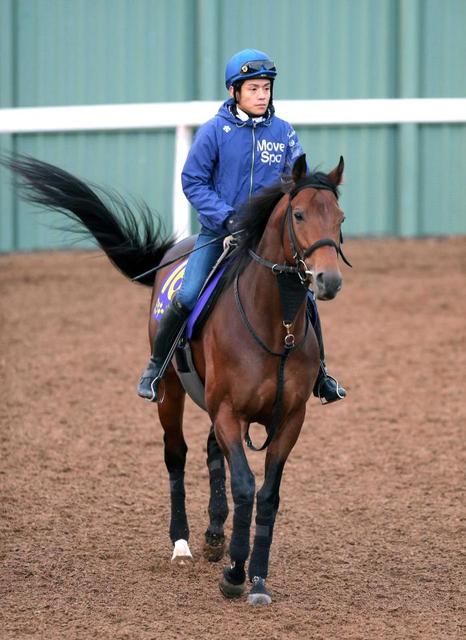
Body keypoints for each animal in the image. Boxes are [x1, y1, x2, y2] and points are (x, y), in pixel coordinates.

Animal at [1, 152, 348, 604]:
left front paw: (256, 578)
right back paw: (182, 543)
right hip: (170, 392)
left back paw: (214, 535)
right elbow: (244, 486)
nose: (329, 280)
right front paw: (235, 574)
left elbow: (267, 495)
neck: (277, 328)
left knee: (211, 452)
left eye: (340, 217)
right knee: (177, 455)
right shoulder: (229, 411)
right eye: (300, 214)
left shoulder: (290, 418)